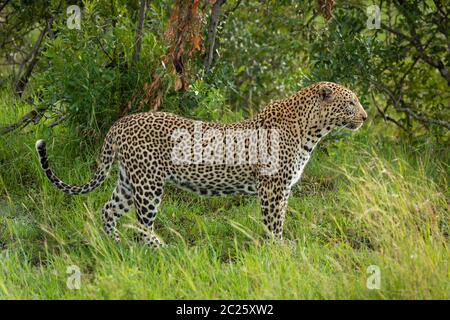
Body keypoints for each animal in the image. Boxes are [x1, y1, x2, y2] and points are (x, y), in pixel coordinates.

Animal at [34, 82, 366, 248]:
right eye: (350, 103)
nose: (364, 117)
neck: (311, 129)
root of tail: (121, 123)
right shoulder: (274, 187)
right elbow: (274, 222)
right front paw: (279, 249)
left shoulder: (279, 188)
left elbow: (275, 221)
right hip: (149, 185)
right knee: (141, 226)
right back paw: (159, 249)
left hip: (129, 181)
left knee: (108, 210)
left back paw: (116, 246)